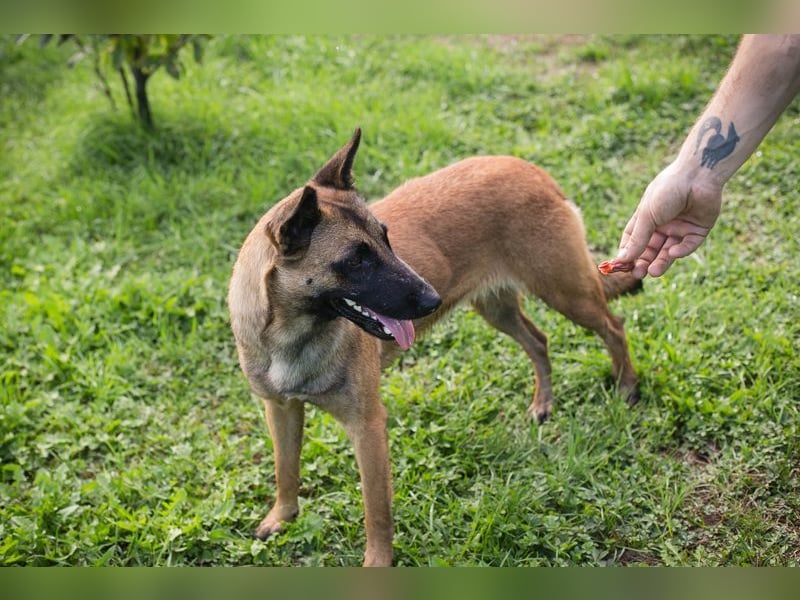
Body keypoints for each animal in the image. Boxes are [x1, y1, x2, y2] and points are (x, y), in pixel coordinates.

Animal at [228, 127, 640, 568]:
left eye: (387, 240)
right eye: (356, 261)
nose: (432, 300)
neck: (293, 333)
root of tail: (531, 170)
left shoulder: (368, 428)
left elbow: (376, 510)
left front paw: (377, 563)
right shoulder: (281, 410)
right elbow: (285, 470)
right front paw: (282, 517)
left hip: (567, 294)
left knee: (614, 327)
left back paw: (627, 387)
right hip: (498, 309)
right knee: (539, 340)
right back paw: (543, 402)